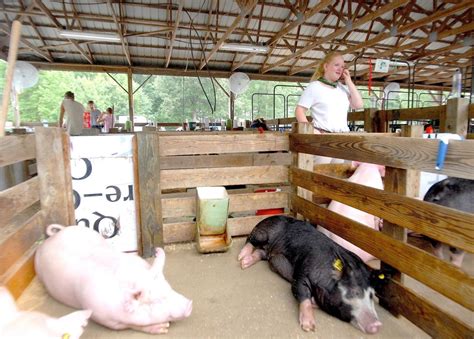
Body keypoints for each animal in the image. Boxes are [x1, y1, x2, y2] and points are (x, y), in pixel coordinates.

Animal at [34, 224, 193, 334]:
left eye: (169, 288)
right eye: (155, 301)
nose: (190, 304)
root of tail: (53, 237)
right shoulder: (103, 317)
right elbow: (130, 325)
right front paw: (163, 328)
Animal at [239, 215, 384, 334]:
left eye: (371, 295)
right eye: (354, 292)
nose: (378, 324)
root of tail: (267, 218)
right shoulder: (302, 273)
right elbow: (301, 292)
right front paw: (309, 327)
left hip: (268, 253)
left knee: (261, 253)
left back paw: (245, 263)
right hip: (262, 233)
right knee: (249, 240)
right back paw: (241, 258)